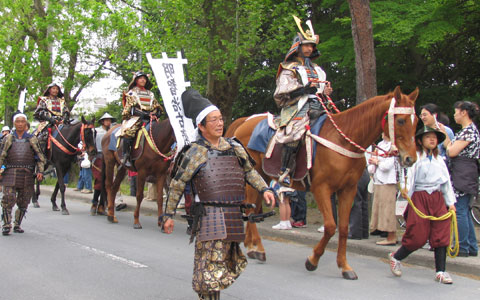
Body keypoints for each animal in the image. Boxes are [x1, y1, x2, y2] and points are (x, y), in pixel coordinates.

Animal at [227, 86, 418, 278]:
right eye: (401, 120)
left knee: (253, 206)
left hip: (262, 177)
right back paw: (256, 247)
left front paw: (344, 266)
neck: (343, 141)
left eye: (416, 121)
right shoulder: (321, 189)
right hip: (255, 173)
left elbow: (343, 228)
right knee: (251, 207)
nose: (411, 159)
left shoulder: (348, 190)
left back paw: (252, 246)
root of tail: (244, 122)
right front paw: (312, 260)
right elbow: (331, 226)